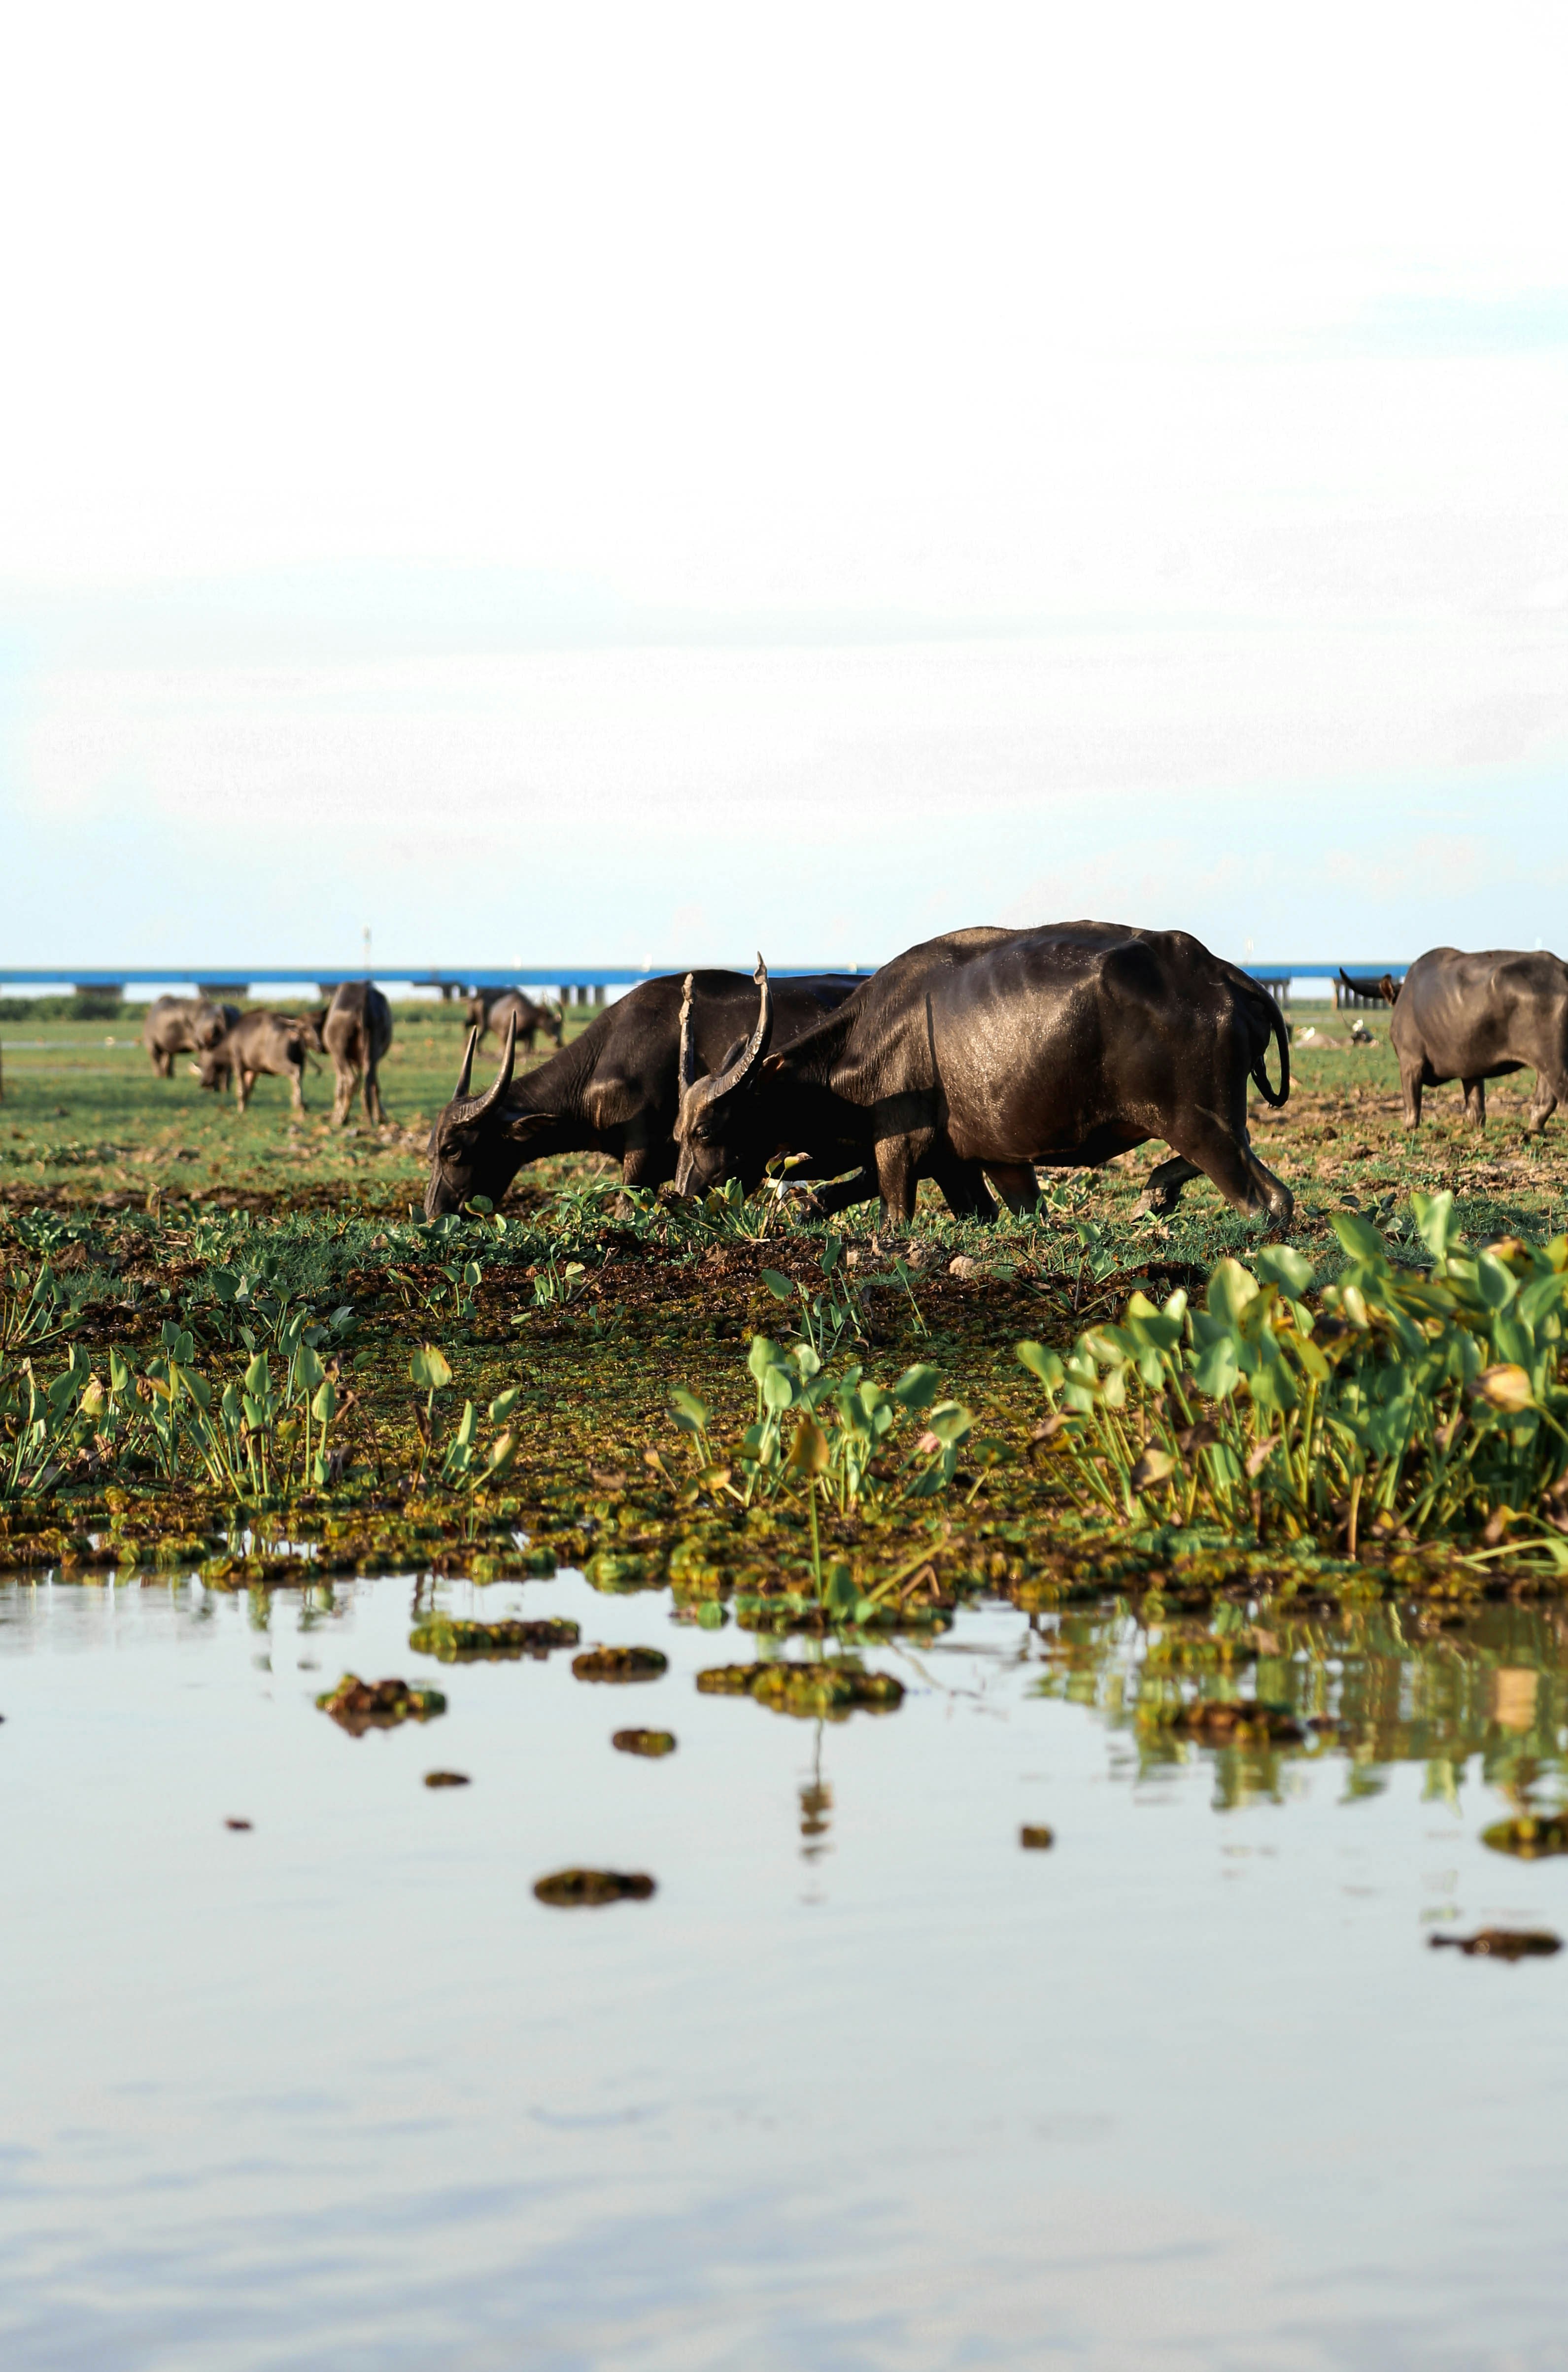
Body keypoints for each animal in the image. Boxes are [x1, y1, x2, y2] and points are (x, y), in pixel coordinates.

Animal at [194, 1010, 322, 1115]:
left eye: (201, 1063)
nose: (202, 1083)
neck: (231, 1041)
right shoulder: (253, 1070)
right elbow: (248, 1089)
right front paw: (244, 1108)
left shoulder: (238, 1063)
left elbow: (241, 1090)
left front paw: (240, 1110)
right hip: (302, 1061)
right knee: (300, 1075)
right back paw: (302, 1103)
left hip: (277, 1062)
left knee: (295, 1072)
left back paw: (298, 1103)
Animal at [672, 925, 1292, 1229]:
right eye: (678, 1133)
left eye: (705, 1131)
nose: (678, 1195)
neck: (868, 1048)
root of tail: (1227, 978)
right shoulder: (978, 1163)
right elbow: (1006, 1213)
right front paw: (809, 1208)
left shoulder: (899, 1155)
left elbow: (891, 1215)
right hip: (1206, 1121)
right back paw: (1154, 1196)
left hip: (1198, 1123)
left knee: (1269, 1200)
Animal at [1340, 951, 1568, 1132]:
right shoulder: (1472, 1071)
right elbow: (1476, 1112)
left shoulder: (1410, 1063)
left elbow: (1412, 1111)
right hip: (1545, 1065)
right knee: (1544, 1102)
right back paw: (1533, 1131)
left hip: (1556, 1064)